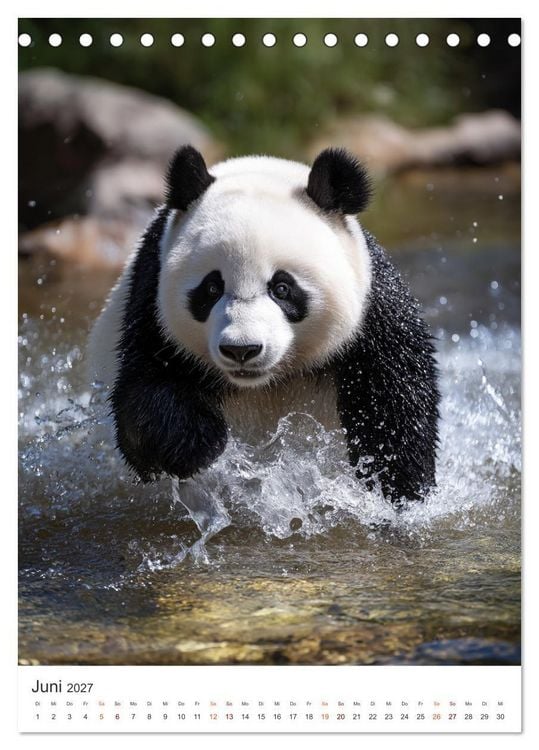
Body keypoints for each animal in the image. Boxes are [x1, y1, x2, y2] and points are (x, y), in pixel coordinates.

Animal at [88, 145, 440, 504]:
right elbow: (143, 397)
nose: (241, 350)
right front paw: (199, 444)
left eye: (282, 288)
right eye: (211, 288)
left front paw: (396, 490)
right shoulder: (151, 305)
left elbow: (394, 405)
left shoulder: (370, 313)